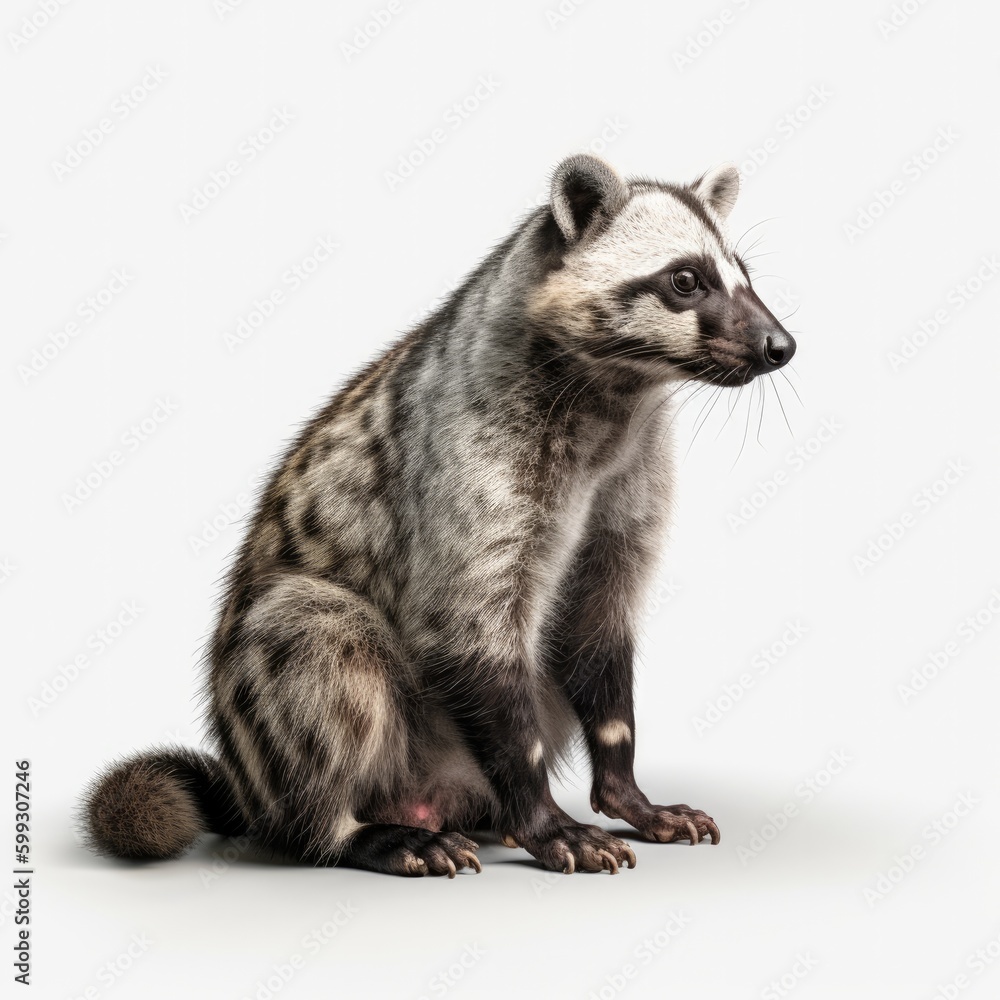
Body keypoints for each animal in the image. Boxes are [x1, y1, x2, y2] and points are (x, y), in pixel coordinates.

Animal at [82, 154, 795, 877]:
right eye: (686, 281)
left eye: (745, 274)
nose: (781, 345)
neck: (617, 400)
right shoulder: (468, 462)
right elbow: (464, 630)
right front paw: (542, 815)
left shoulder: (629, 484)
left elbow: (596, 626)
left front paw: (625, 789)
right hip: (290, 689)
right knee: (315, 633)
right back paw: (345, 827)